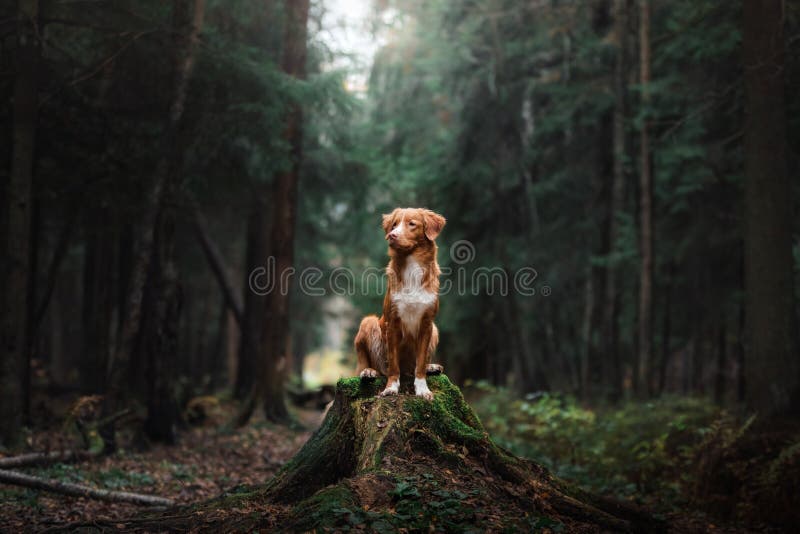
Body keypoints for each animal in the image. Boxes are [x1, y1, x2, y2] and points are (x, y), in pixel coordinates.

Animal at [354, 209, 446, 402]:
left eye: (412, 224)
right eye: (394, 225)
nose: (392, 235)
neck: (411, 267)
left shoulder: (427, 323)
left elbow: (420, 362)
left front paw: (422, 389)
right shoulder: (393, 322)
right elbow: (393, 364)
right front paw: (391, 388)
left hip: (435, 329)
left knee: (416, 365)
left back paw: (431, 367)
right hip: (368, 322)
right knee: (371, 365)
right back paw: (368, 371)